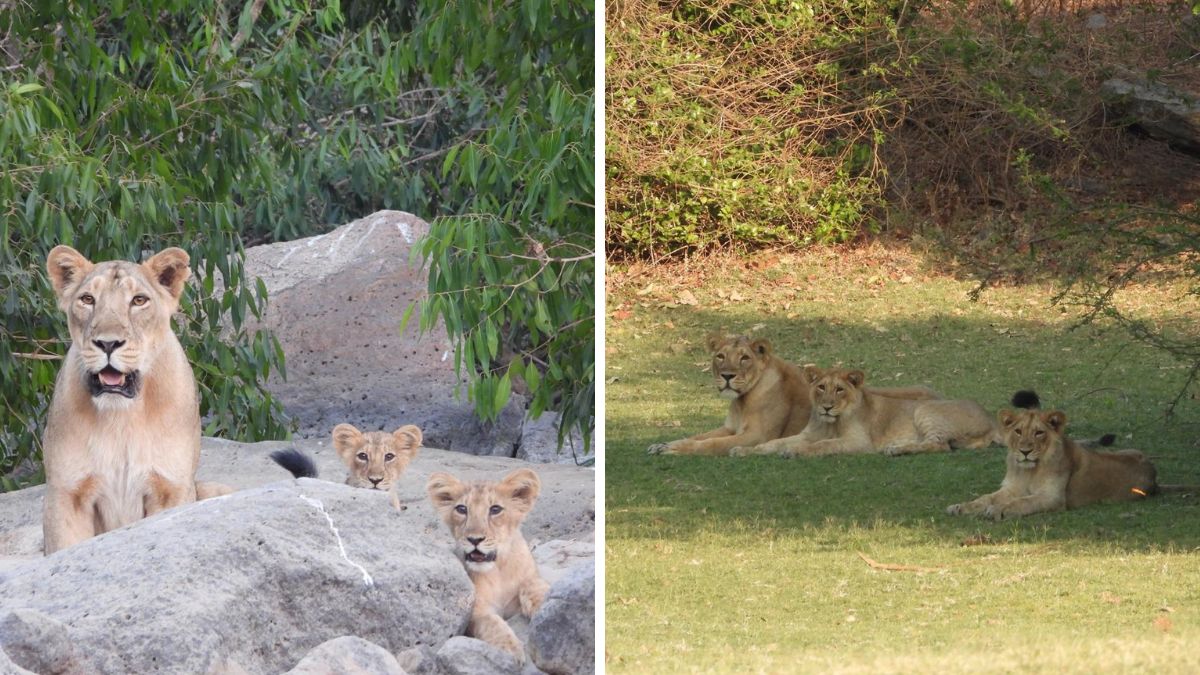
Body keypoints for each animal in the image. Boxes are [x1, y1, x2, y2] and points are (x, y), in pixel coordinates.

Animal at [41, 245, 231, 554]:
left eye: (139, 300)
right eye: (87, 299)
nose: (107, 343)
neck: (122, 415)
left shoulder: (172, 487)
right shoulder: (66, 493)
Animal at [426, 468, 549, 663]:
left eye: (495, 509)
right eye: (462, 509)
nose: (474, 539)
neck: (497, 571)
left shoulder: (530, 577)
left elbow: (533, 584)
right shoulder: (474, 611)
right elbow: (492, 623)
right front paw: (511, 650)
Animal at [647, 333, 941, 456]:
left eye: (744, 358)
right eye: (720, 356)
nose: (727, 376)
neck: (742, 400)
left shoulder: (756, 436)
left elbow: (708, 444)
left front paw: (672, 450)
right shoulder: (730, 428)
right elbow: (697, 436)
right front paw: (663, 444)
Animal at [733, 366, 996, 457]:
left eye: (839, 389)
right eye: (821, 387)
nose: (827, 407)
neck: (829, 423)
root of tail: (991, 418)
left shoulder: (858, 442)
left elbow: (824, 445)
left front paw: (795, 452)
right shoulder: (806, 434)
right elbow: (774, 443)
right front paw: (745, 450)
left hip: (924, 409)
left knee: (938, 444)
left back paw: (896, 450)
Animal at [947, 400, 1157, 520]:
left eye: (1039, 433)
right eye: (1018, 431)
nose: (1025, 451)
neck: (1029, 471)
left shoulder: (1052, 497)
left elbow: (1023, 502)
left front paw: (998, 509)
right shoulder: (1011, 488)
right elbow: (985, 498)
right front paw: (961, 507)